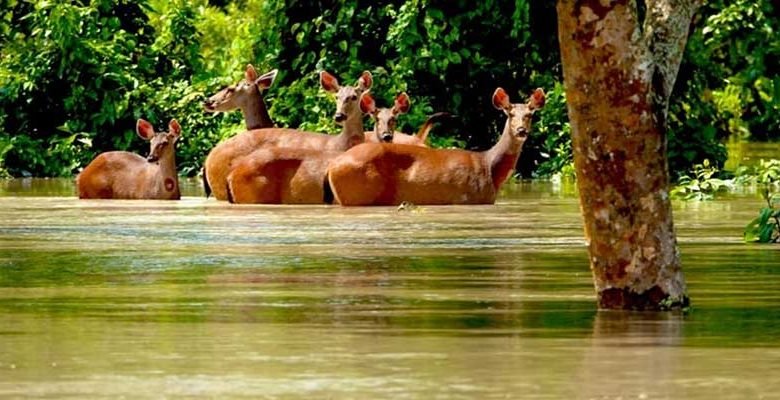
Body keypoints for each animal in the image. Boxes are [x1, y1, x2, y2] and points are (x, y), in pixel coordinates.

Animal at [327, 87, 546, 206]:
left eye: (530, 114)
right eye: (510, 114)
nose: (521, 130)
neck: (490, 167)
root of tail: (332, 166)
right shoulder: (467, 198)